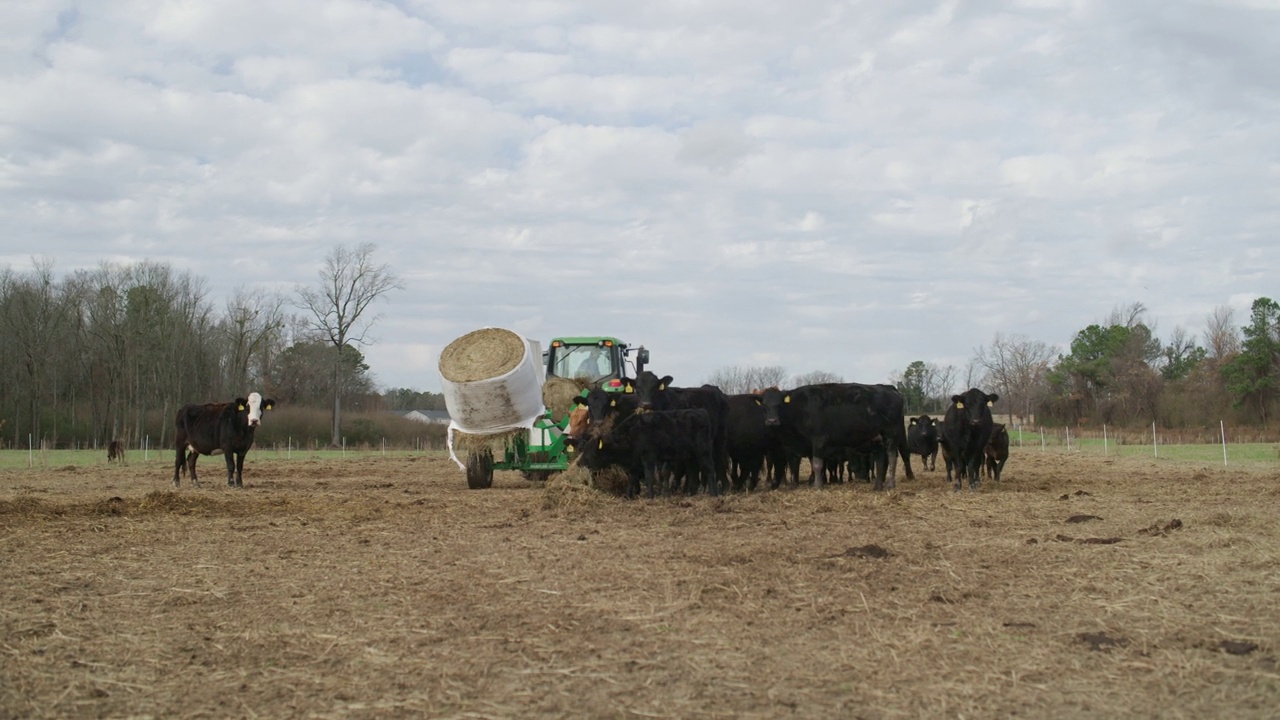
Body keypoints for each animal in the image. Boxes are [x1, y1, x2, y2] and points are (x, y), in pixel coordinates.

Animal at [576, 407, 716, 497]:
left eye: (593, 452)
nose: (579, 463)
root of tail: (701, 412)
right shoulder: (634, 462)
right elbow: (632, 478)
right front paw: (628, 495)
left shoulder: (648, 457)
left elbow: (649, 476)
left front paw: (650, 496)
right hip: (690, 457)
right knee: (693, 475)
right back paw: (691, 495)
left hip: (704, 452)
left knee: (709, 470)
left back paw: (715, 494)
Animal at [757, 379, 911, 489]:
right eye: (764, 405)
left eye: (779, 404)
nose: (772, 421)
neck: (800, 407)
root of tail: (890, 389)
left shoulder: (819, 440)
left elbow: (817, 465)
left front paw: (817, 486)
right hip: (877, 438)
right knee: (881, 459)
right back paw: (878, 486)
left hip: (891, 434)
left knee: (892, 456)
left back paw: (890, 484)